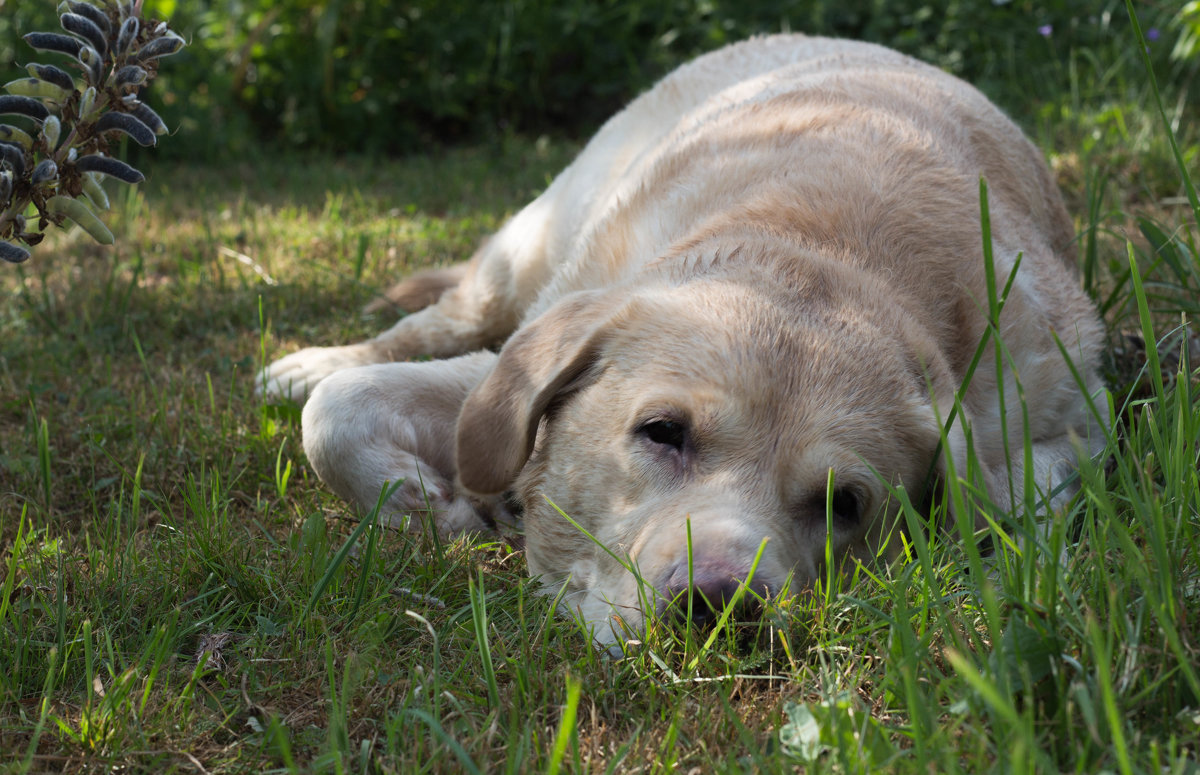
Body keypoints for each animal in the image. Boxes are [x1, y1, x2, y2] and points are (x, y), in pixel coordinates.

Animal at [260, 33, 1104, 647]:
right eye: (662, 430)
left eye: (847, 503)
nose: (722, 603)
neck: (819, 254)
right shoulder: (514, 363)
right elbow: (336, 412)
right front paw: (428, 505)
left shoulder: (1069, 414)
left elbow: (1023, 491)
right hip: (527, 246)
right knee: (433, 319)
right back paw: (312, 362)